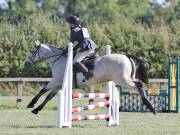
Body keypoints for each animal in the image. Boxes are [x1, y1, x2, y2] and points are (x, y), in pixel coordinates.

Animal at [24, 40, 157, 115]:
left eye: (32, 51)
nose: (26, 64)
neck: (58, 59)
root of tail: (126, 56)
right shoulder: (58, 84)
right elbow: (49, 97)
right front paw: (36, 109)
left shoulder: (55, 81)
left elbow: (43, 90)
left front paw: (31, 104)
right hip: (126, 79)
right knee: (138, 86)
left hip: (124, 81)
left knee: (139, 85)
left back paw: (150, 106)